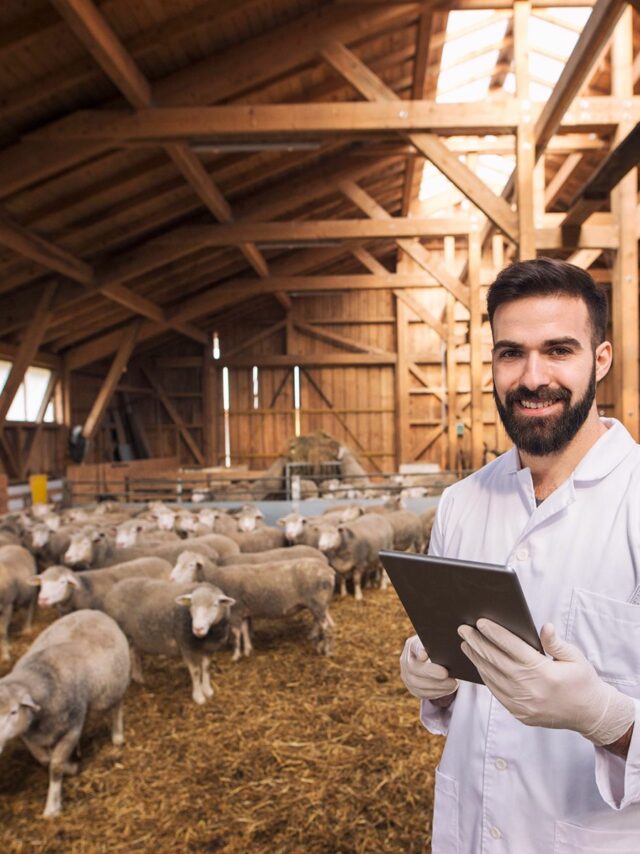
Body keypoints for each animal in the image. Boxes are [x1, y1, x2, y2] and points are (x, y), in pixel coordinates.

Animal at [0, 612, 130, 820]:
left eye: (13, 711)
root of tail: (93, 612)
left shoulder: (71, 729)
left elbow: (55, 765)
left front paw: (52, 807)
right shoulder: (29, 735)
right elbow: (45, 760)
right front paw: (70, 766)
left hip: (116, 686)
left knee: (117, 708)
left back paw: (117, 737)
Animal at [104, 580, 234, 704]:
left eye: (215, 605)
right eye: (191, 605)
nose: (198, 629)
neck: (206, 636)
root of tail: (114, 588)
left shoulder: (210, 648)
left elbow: (206, 668)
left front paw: (208, 690)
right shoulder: (187, 647)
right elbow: (196, 672)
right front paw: (198, 697)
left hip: (135, 636)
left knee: (134, 653)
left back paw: (139, 677)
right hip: (125, 634)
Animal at [170, 552, 340, 660]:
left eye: (191, 565)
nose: (171, 578)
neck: (217, 576)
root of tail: (328, 569)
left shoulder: (235, 610)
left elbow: (236, 633)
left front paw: (236, 655)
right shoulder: (244, 610)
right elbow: (245, 630)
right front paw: (248, 650)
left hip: (318, 602)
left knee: (325, 625)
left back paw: (325, 650)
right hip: (318, 604)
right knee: (320, 622)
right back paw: (316, 641)